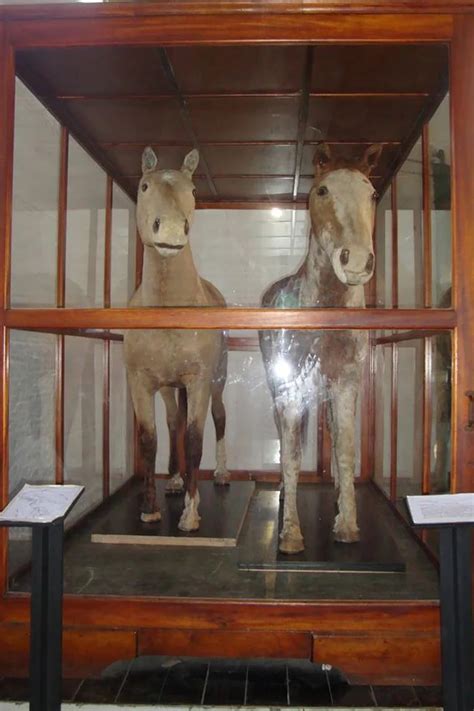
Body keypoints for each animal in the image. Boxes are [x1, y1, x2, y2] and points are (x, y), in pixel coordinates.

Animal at [123, 147, 229, 532]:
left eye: (193, 189)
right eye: (144, 186)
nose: (169, 229)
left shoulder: (198, 381)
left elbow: (196, 439)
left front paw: (190, 513)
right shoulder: (141, 383)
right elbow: (150, 440)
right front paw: (150, 507)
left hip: (216, 382)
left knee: (219, 417)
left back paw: (222, 474)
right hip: (170, 388)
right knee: (174, 423)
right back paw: (175, 480)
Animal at [260, 142, 382, 552]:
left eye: (372, 194)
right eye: (323, 190)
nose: (356, 262)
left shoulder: (345, 382)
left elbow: (344, 448)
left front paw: (347, 524)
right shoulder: (290, 385)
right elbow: (293, 452)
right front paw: (290, 534)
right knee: (287, 436)